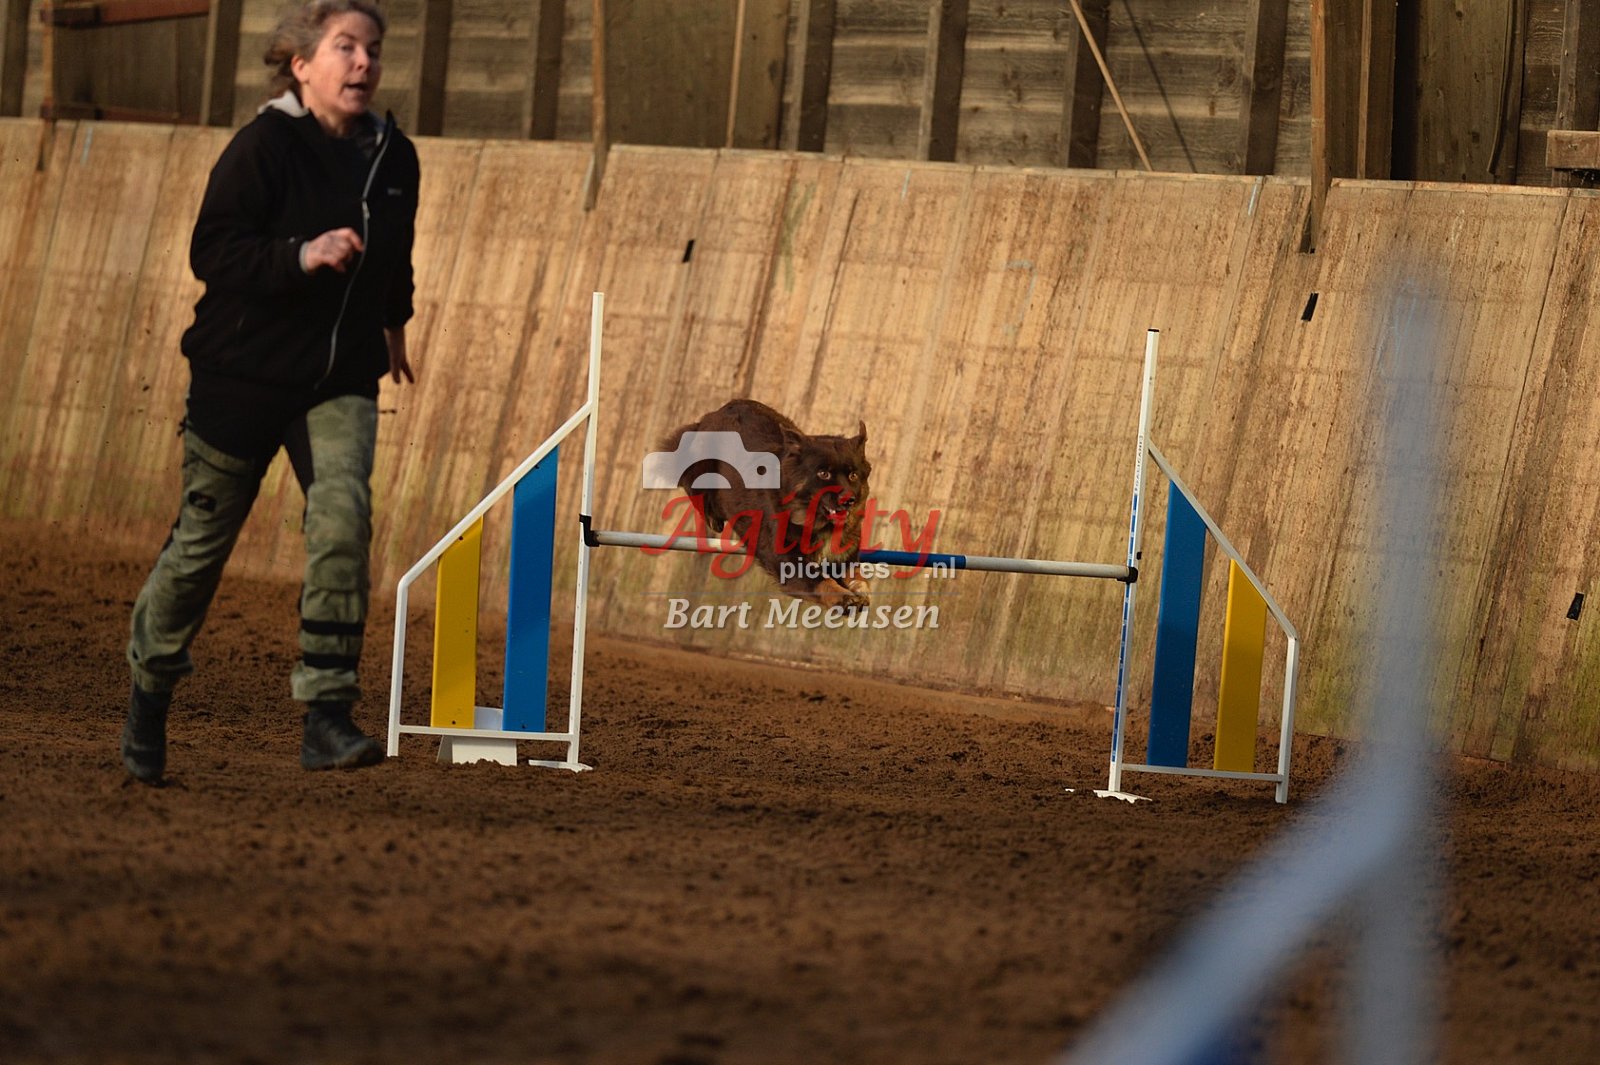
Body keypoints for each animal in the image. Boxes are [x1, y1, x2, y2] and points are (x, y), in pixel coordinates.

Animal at [656, 400, 872, 609]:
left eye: (853, 475)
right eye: (823, 474)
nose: (848, 500)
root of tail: (717, 411)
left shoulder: (844, 558)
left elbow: (856, 575)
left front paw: (859, 589)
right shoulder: (790, 564)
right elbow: (821, 582)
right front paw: (844, 597)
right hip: (702, 468)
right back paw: (712, 517)